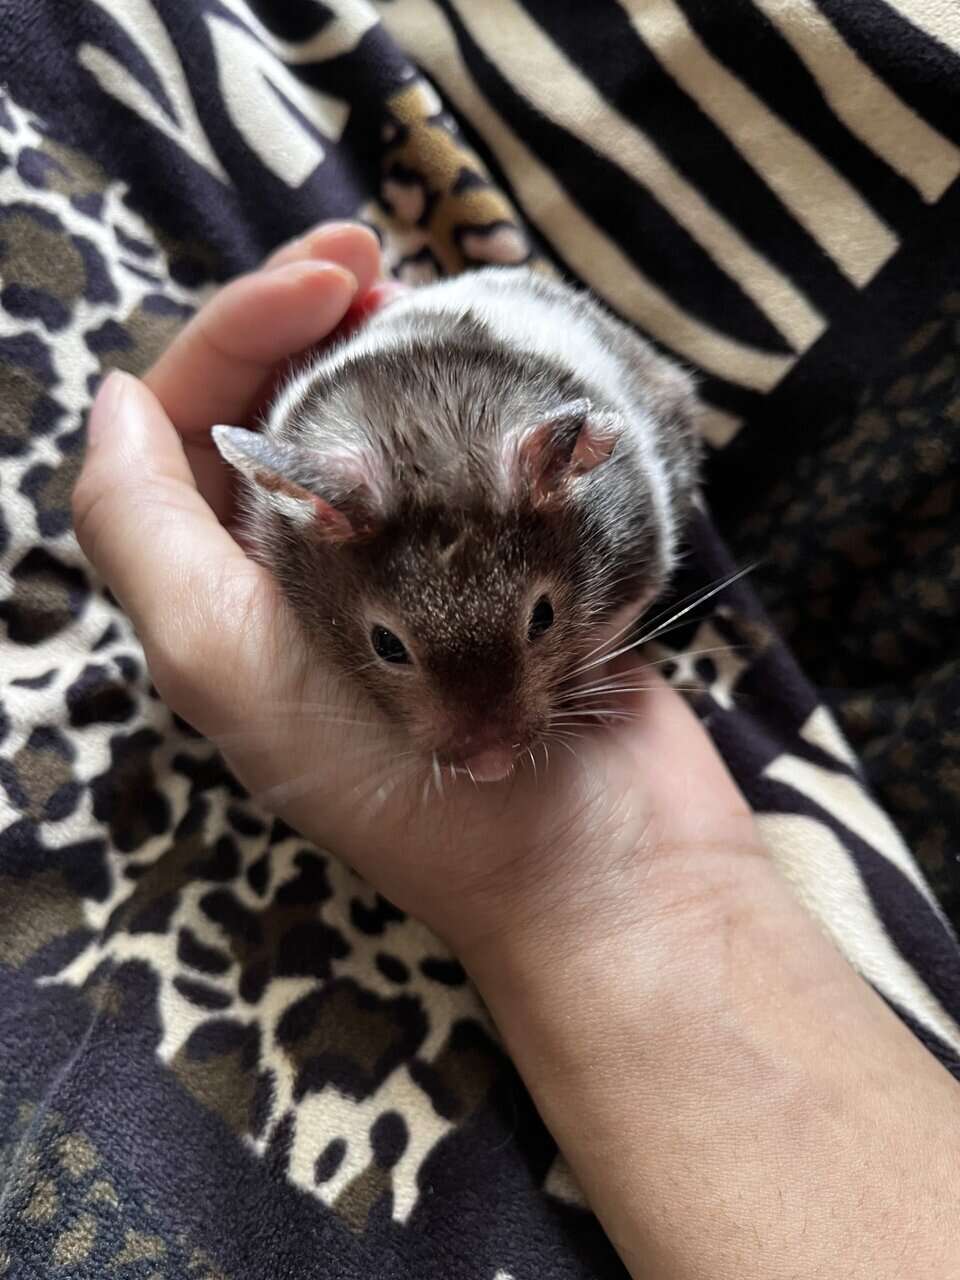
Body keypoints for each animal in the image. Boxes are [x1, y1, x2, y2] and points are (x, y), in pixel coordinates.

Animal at [213, 267, 700, 782]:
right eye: (386, 645)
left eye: (543, 617)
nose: (493, 770)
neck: (431, 439)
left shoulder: (643, 555)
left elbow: (607, 634)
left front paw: (600, 706)